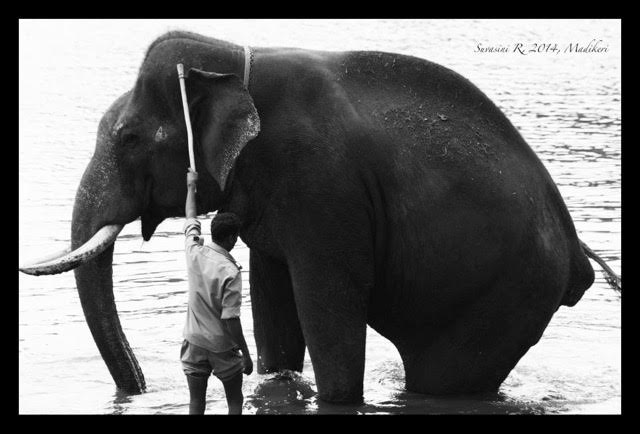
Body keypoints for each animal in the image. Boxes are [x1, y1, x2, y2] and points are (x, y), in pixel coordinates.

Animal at [19, 31, 621, 403]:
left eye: (128, 138)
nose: (138, 390)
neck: (235, 60)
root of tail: (575, 254)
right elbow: (272, 295)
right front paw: (275, 383)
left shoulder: (324, 188)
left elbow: (327, 310)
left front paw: (334, 397)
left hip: (502, 297)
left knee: (445, 377)